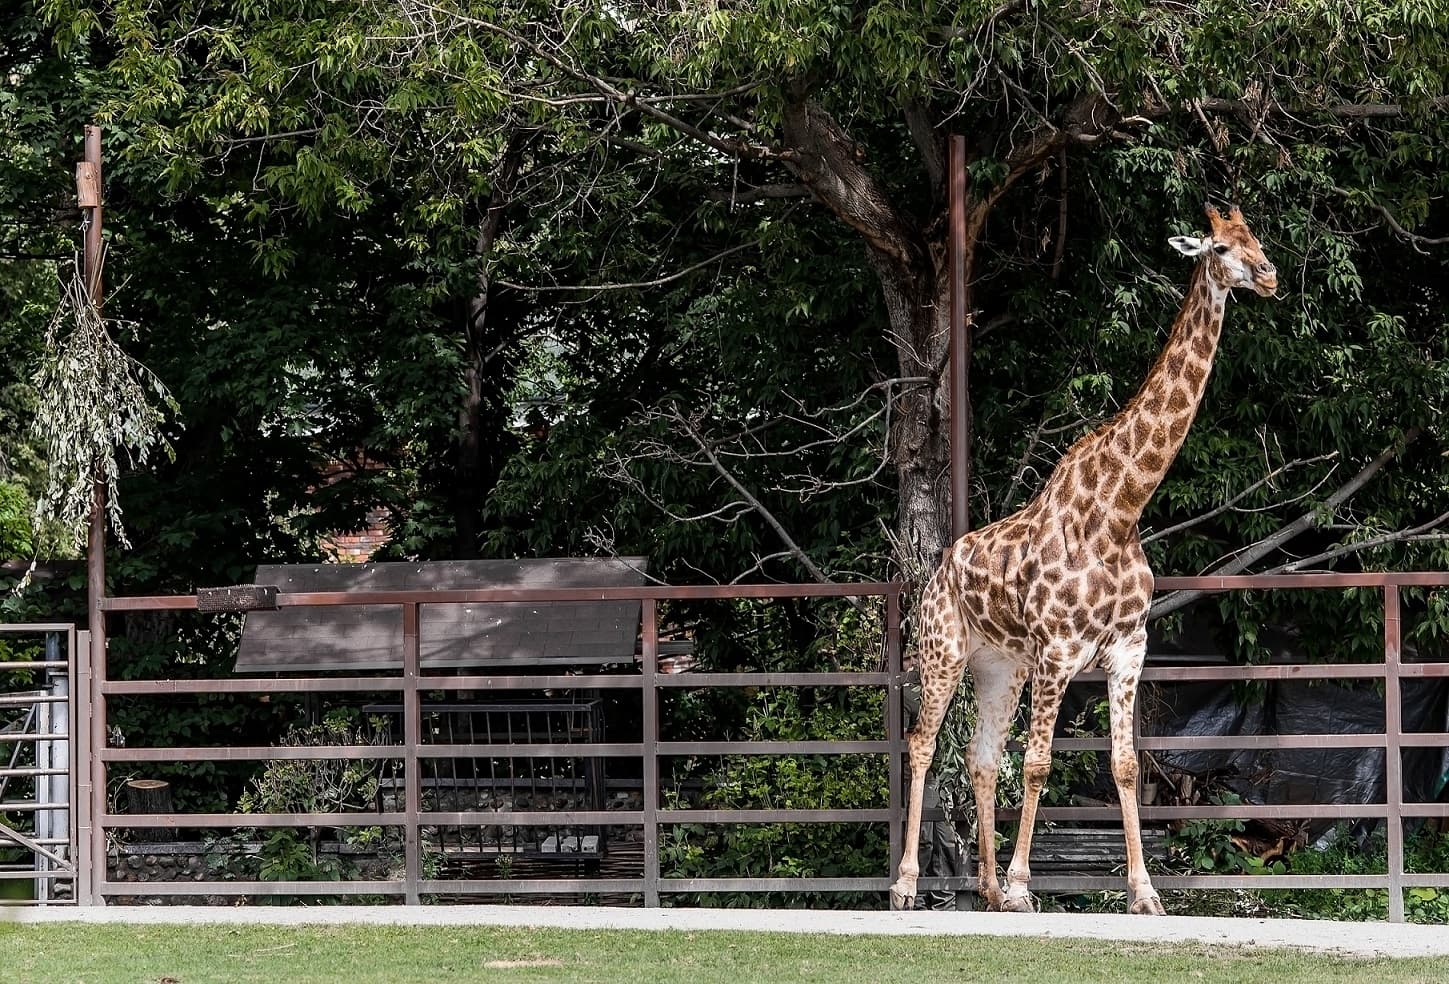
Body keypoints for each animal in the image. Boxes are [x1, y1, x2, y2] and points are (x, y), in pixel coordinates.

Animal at [889, 205, 1278, 915]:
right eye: (1220, 246)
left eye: (1257, 239)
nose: (1267, 275)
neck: (1121, 510)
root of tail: (936, 571)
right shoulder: (1059, 653)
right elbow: (1039, 764)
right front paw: (1025, 886)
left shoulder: (1127, 650)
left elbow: (1124, 764)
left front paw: (1145, 894)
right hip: (944, 651)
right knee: (924, 744)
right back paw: (910, 886)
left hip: (1000, 667)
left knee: (981, 757)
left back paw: (986, 890)